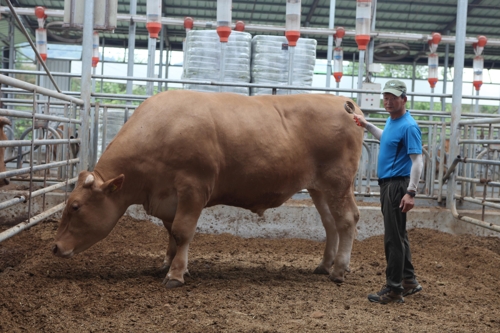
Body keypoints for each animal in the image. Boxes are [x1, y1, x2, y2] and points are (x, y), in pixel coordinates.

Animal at [52, 91, 364, 288]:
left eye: (76, 206)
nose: (55, 247)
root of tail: (346, 103)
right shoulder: (168, 198)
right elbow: (171, 233)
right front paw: (167, 264)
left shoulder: (193, 187)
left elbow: (182, 231)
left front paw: (176, 275)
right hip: (319, 188)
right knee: (330, 223)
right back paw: (324, 265)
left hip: (338, 182)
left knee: (347, 220)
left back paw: (339, 270)